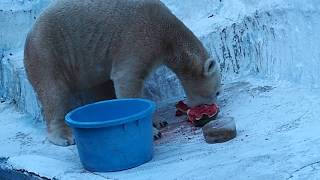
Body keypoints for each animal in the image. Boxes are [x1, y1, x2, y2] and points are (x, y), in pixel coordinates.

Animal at [24, 0, 220, 146]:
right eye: (217, 92)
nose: (210, 107)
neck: (168, 33)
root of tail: (28, 37)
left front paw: (158, 120)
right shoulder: (140, 38)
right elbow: (127, 79)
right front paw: (153, 131)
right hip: (48, 54)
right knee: (53, 92)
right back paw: (65, 136)